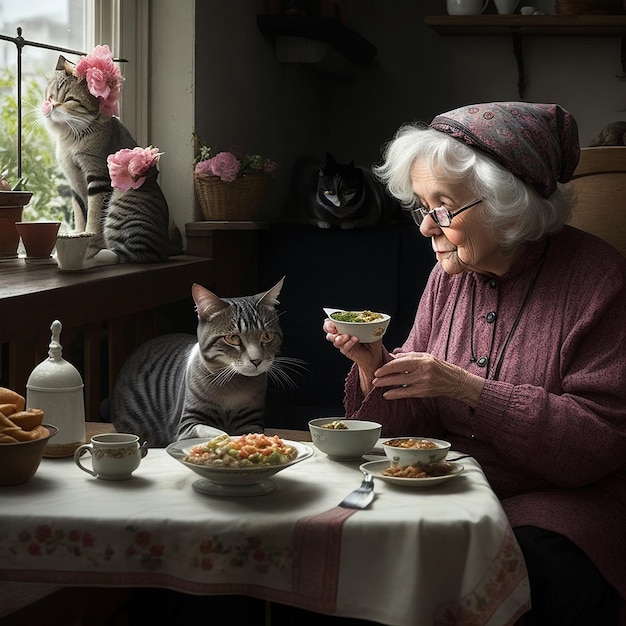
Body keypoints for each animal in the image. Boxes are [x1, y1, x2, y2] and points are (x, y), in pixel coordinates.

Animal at [41, 50, 180, 262]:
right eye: (51, 95)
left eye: (69, 99)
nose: (52, 105)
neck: (71, 136)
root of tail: (165, 248)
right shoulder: (74, 181)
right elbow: (79, 212)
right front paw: (76, 235)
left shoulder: (97, 176)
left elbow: (93, 215)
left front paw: (88, 240)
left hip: (123, 199)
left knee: (126, 254)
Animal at [108, 276, 304, 446]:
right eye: (233, 338)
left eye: (267, 336)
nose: (256, 360)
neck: (233, 386)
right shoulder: (187, 424)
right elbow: (213, 431)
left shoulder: (251, 419)